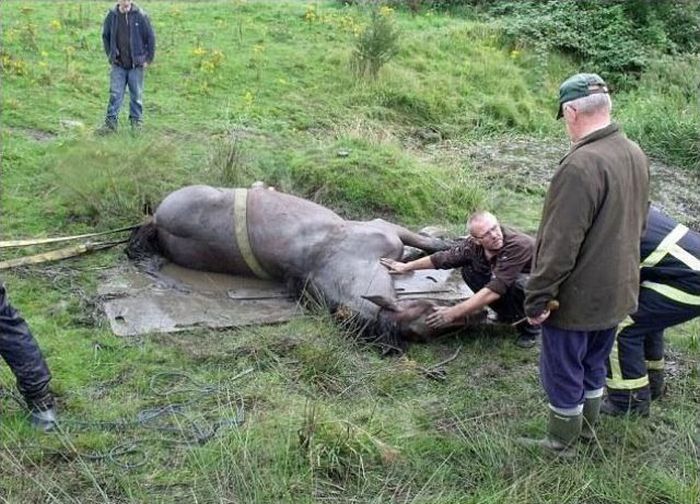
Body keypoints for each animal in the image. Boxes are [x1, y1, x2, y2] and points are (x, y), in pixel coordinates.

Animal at [126, 185, 464, 350]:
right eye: (431, 316)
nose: (471, 324)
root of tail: (156, 220)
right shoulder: (385, 228)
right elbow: (429, 245)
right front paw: (448, 244)